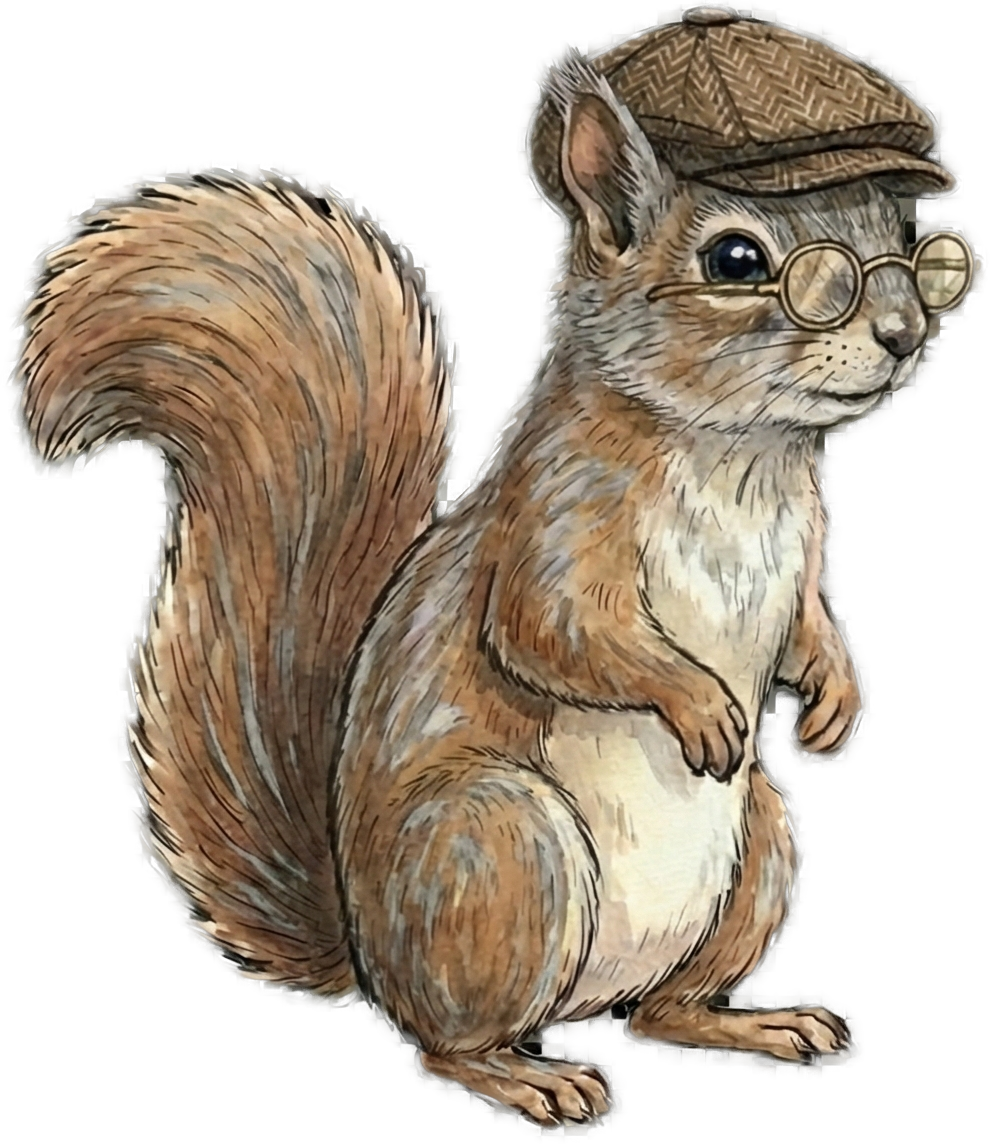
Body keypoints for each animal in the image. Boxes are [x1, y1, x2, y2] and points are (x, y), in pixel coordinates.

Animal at [8, 43, 965, 1130]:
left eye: (909, 246)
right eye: (735, 260)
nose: (903, 332)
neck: (738, 452)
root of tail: (365, 955)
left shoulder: (804, 540)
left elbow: (808, 615)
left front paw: (836, 698)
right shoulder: (554, 518)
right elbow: (550, 629)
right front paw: (700, 702)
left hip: (758, 838)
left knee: (659, 1012)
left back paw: (755, 1022)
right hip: (501, 844)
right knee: (447, 1041)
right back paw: (532, 1077)